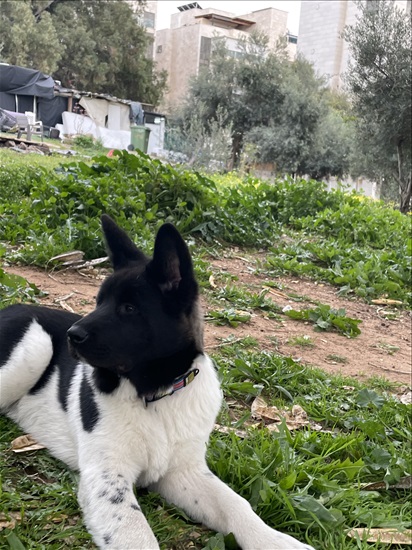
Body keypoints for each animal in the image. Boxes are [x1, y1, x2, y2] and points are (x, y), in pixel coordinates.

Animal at [0, 217, 316, 550]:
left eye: (129, 308)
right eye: (99, 302)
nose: (72, 336)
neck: (154, 394)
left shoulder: (184, 472)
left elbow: (236, 504)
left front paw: (276, 540)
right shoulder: (107, 477)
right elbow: (137, 533)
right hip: (34, 348)